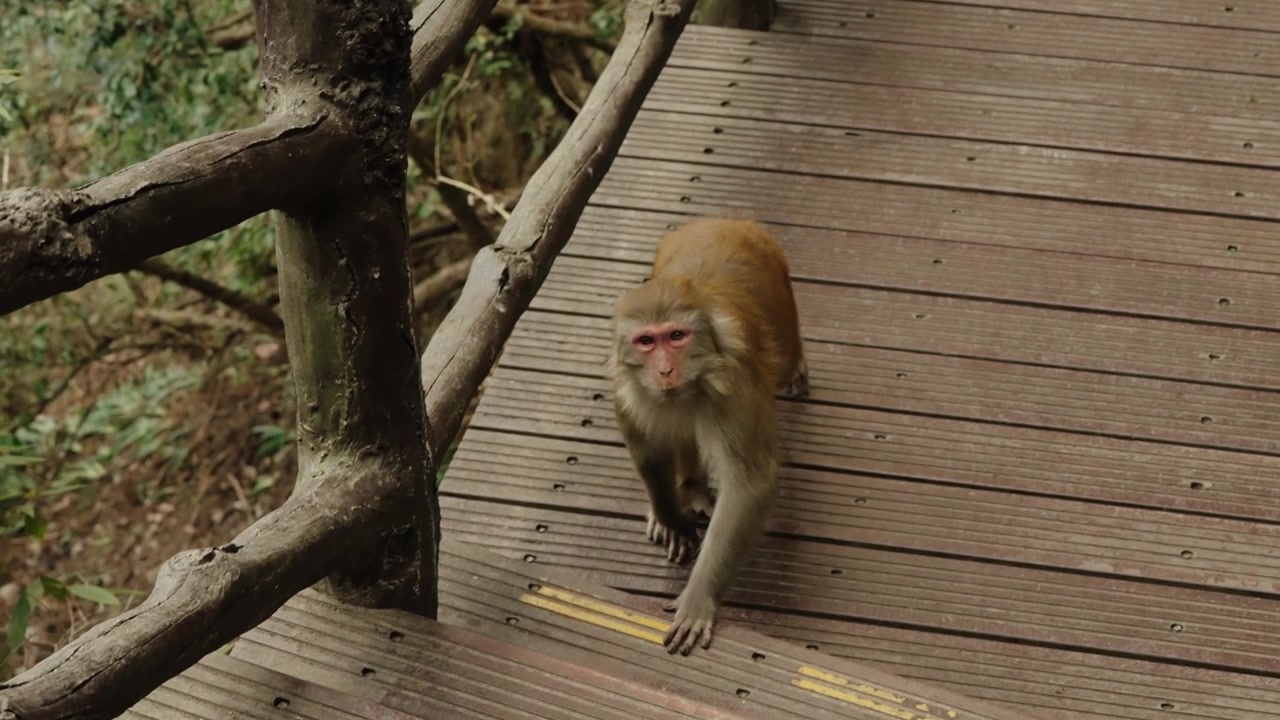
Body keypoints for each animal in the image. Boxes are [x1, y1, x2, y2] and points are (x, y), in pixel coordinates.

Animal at [607, 217, 808, 656]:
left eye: (676, 337)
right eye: (646, 341)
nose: (666, 370)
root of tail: (722, 221)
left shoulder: (735, 388)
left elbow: (749, 483)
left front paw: (699, 598)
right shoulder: (627, 389)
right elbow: (650, 453)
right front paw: (672, 519)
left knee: (783, 358)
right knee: (680, 428)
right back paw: (692, 488)